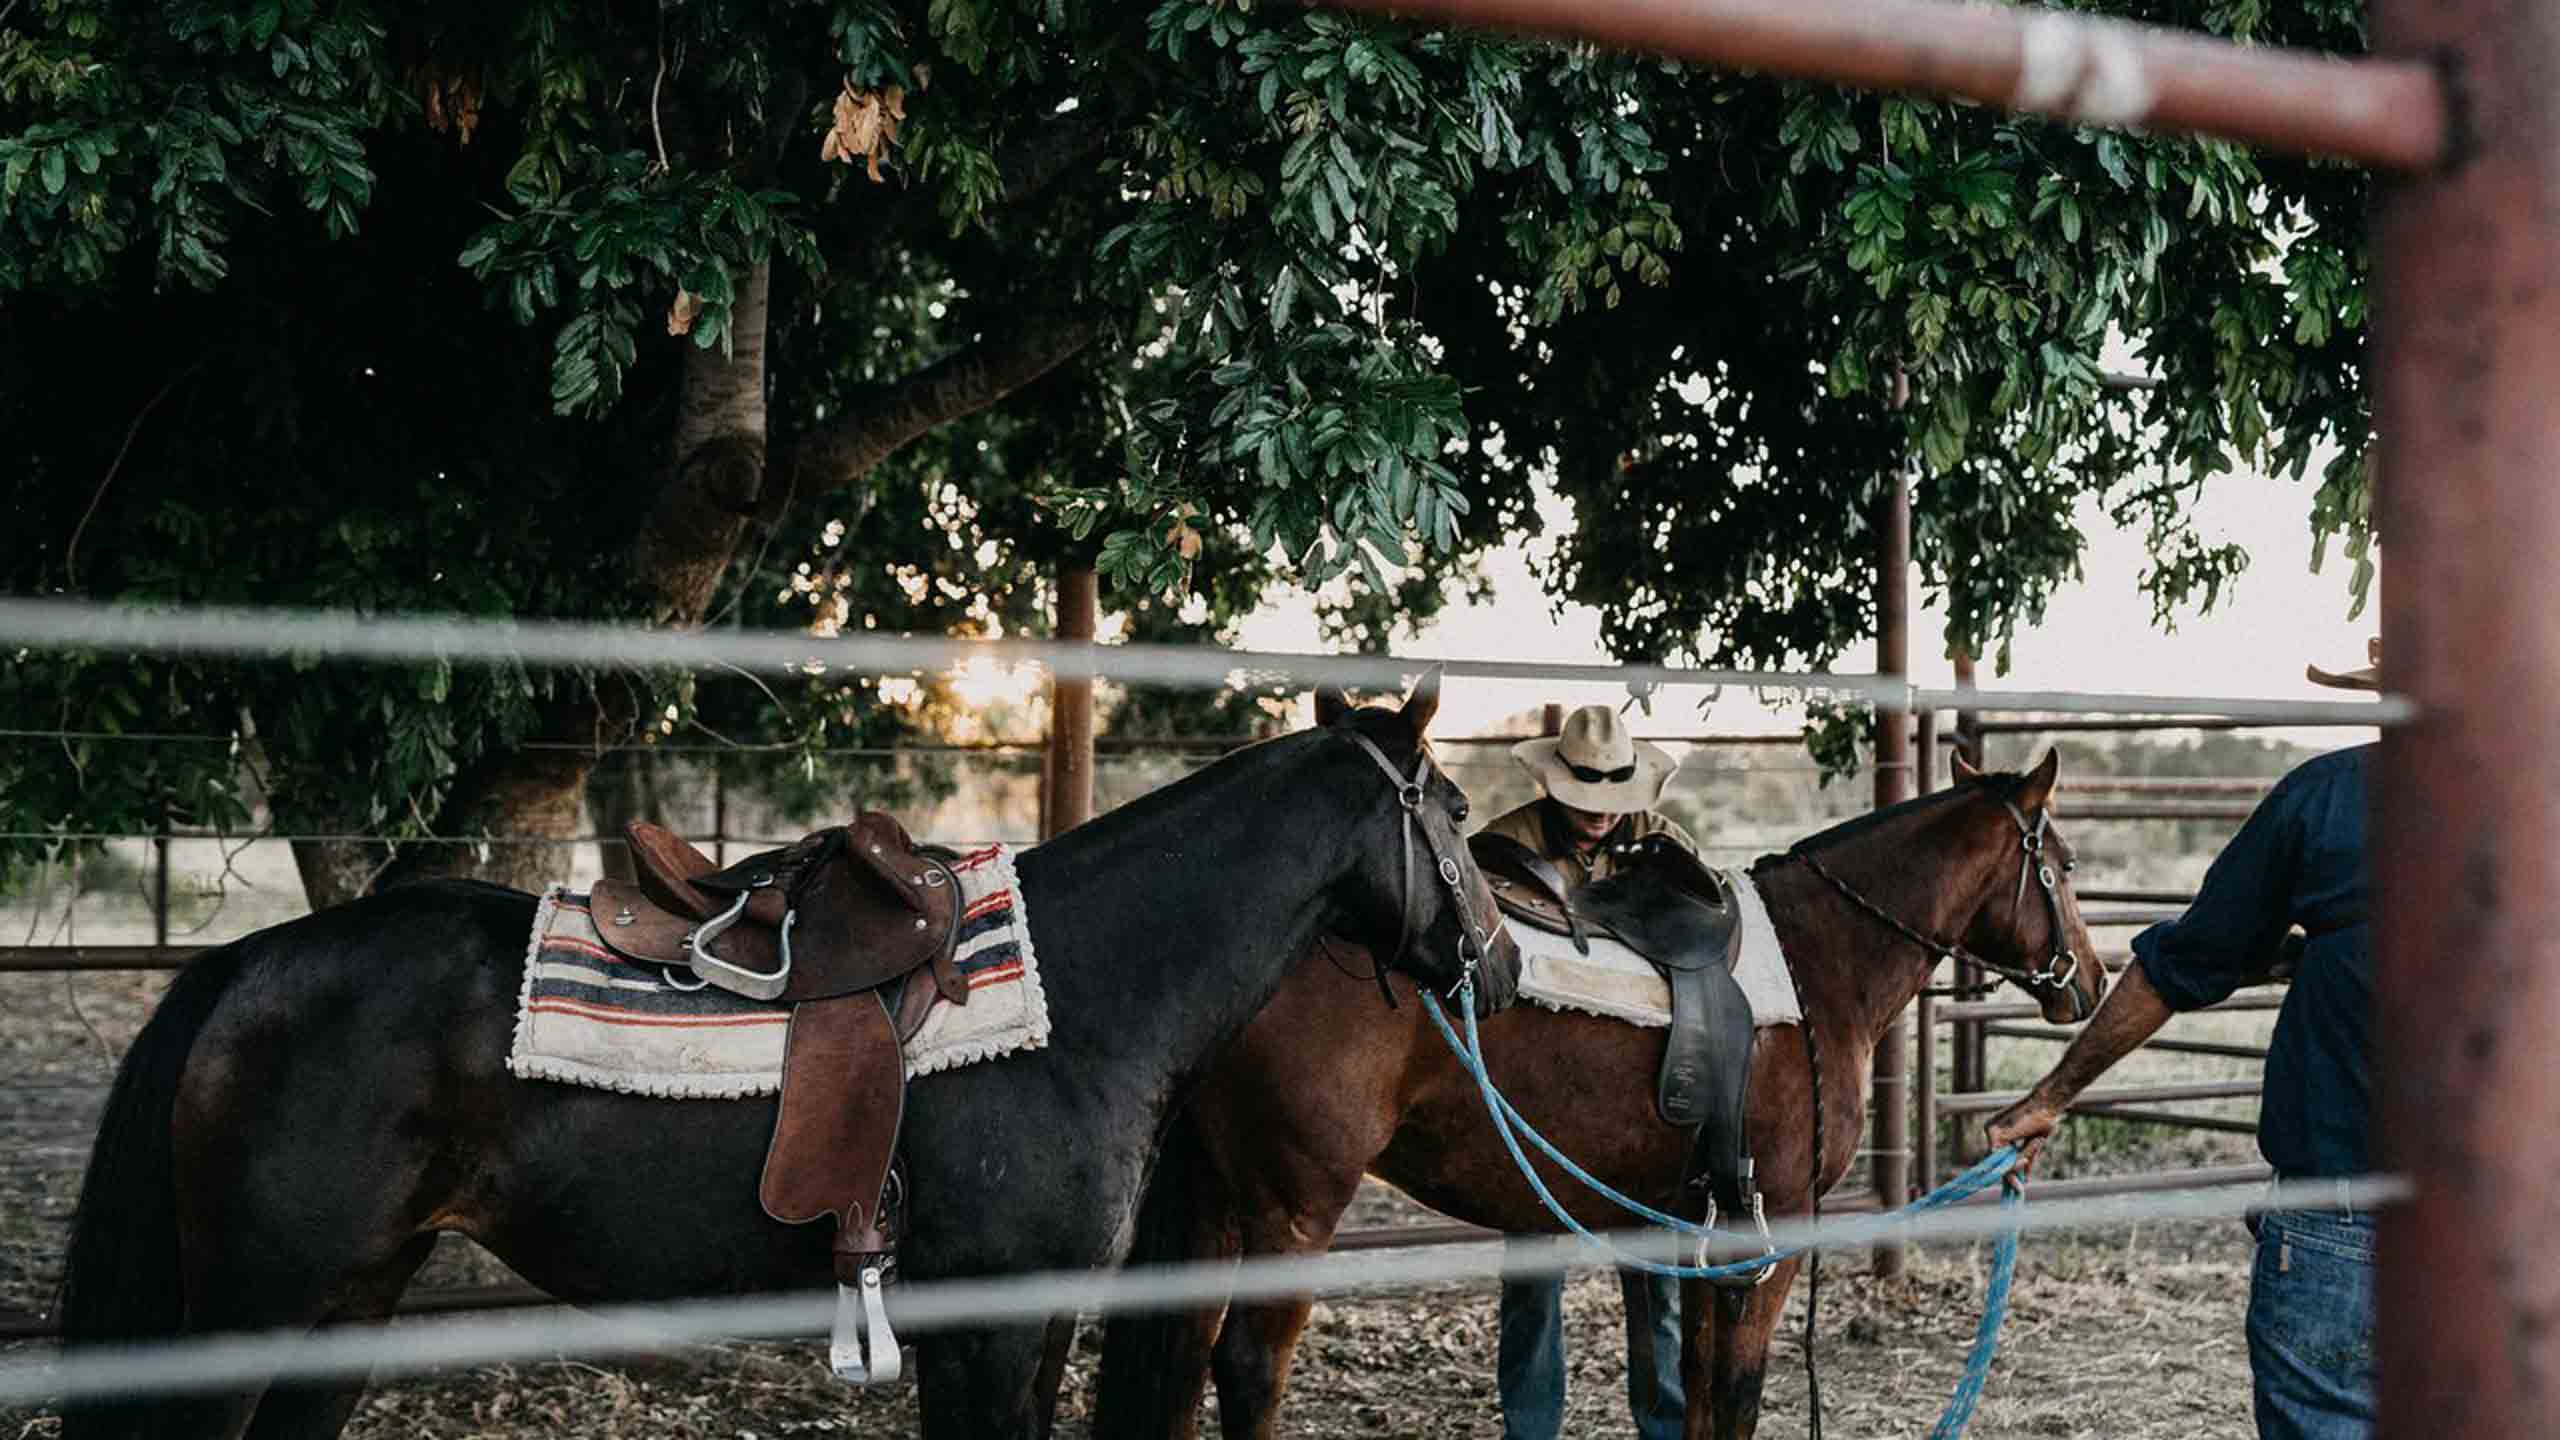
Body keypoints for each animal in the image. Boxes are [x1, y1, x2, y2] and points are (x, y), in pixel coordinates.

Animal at [49, 676, 1505, 1434]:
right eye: (1453, 807)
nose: (1497, 962)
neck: (1081, 1000)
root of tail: (251, 965)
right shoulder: (987, 1327)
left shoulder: (1029, 1329)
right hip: (248, 1301)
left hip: (351, 1296)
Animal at [1090, 743, 2109, 1434]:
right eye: (2061, 866)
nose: (2093, 982)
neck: (1820, 958)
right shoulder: (1771, 1232)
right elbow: (1737, 1394)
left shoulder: (1697, 1231)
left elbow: (1693, 1388)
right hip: (1293, 1204)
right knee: (1246, 1368)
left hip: (1216, 1191)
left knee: (1178, 1357)